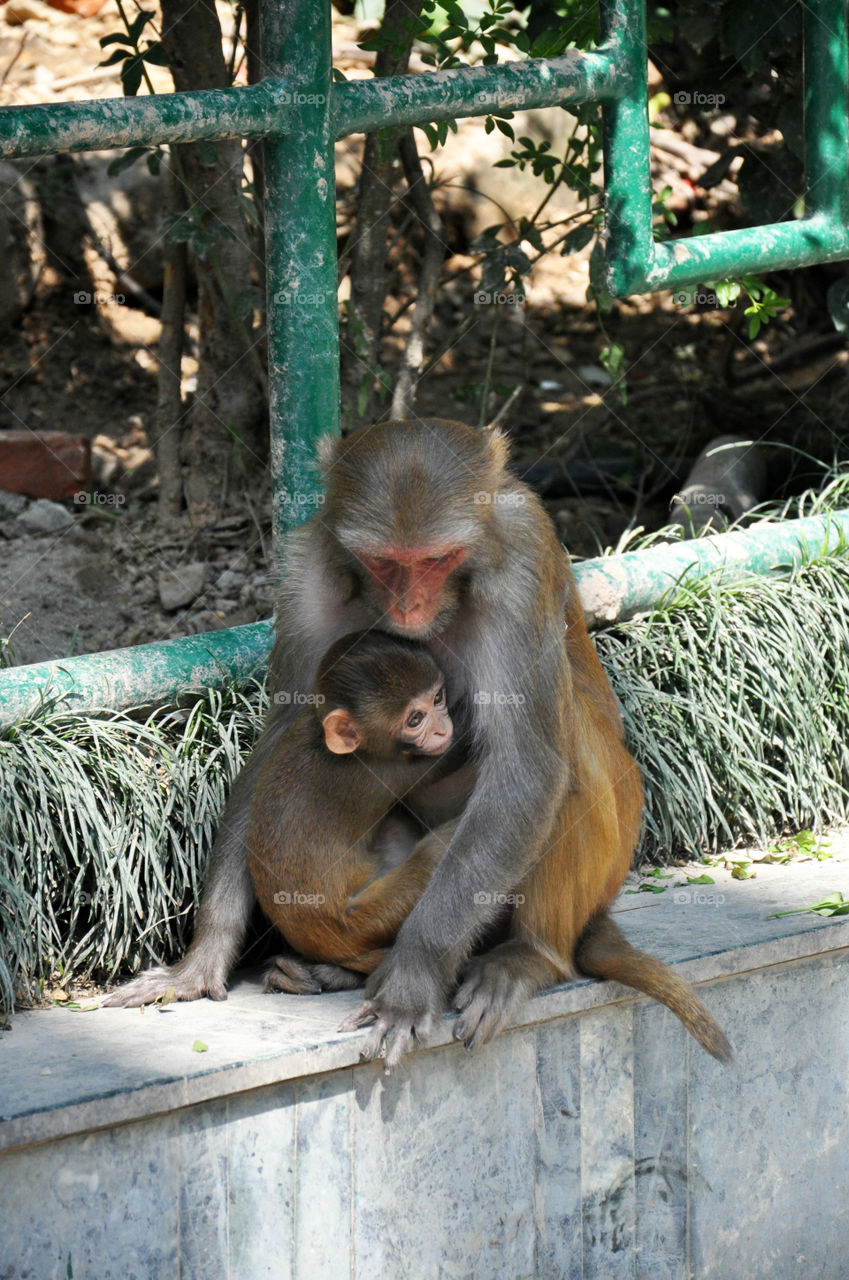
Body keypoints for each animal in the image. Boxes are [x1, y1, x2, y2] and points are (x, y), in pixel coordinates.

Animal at [245, 629, 458, 988]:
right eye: (415, 719)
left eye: (438, 698)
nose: (443, 729)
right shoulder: (382, 772)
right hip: (364, 921)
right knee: (433, 853)